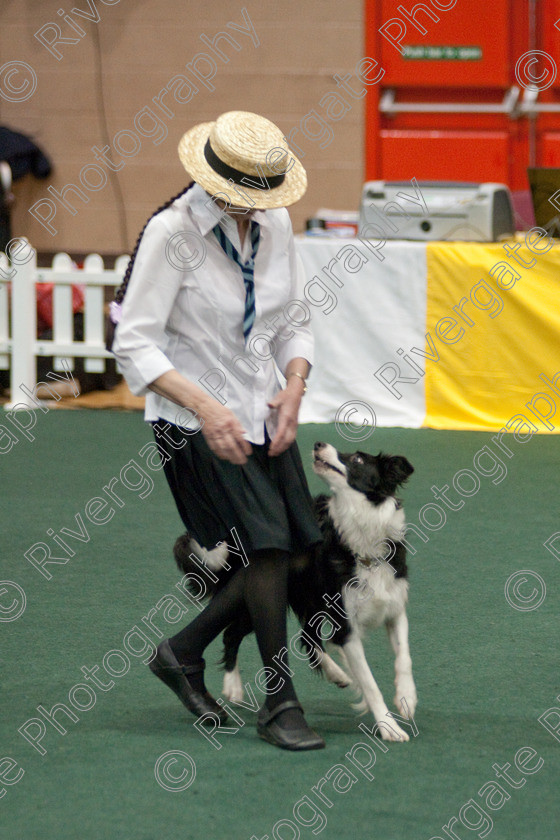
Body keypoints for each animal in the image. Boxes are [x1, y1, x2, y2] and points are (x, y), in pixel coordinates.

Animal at [174, 440, 416, 740]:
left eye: (358, 459)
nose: (319, 444)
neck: (363, 543)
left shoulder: (394, 605)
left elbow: (404, 656)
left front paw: (407, 699)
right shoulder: (345, 624)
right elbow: (370, 683)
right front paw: (389, 726)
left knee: (308, 638)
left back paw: (337, 673)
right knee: (232, 633)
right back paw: (233, 685)